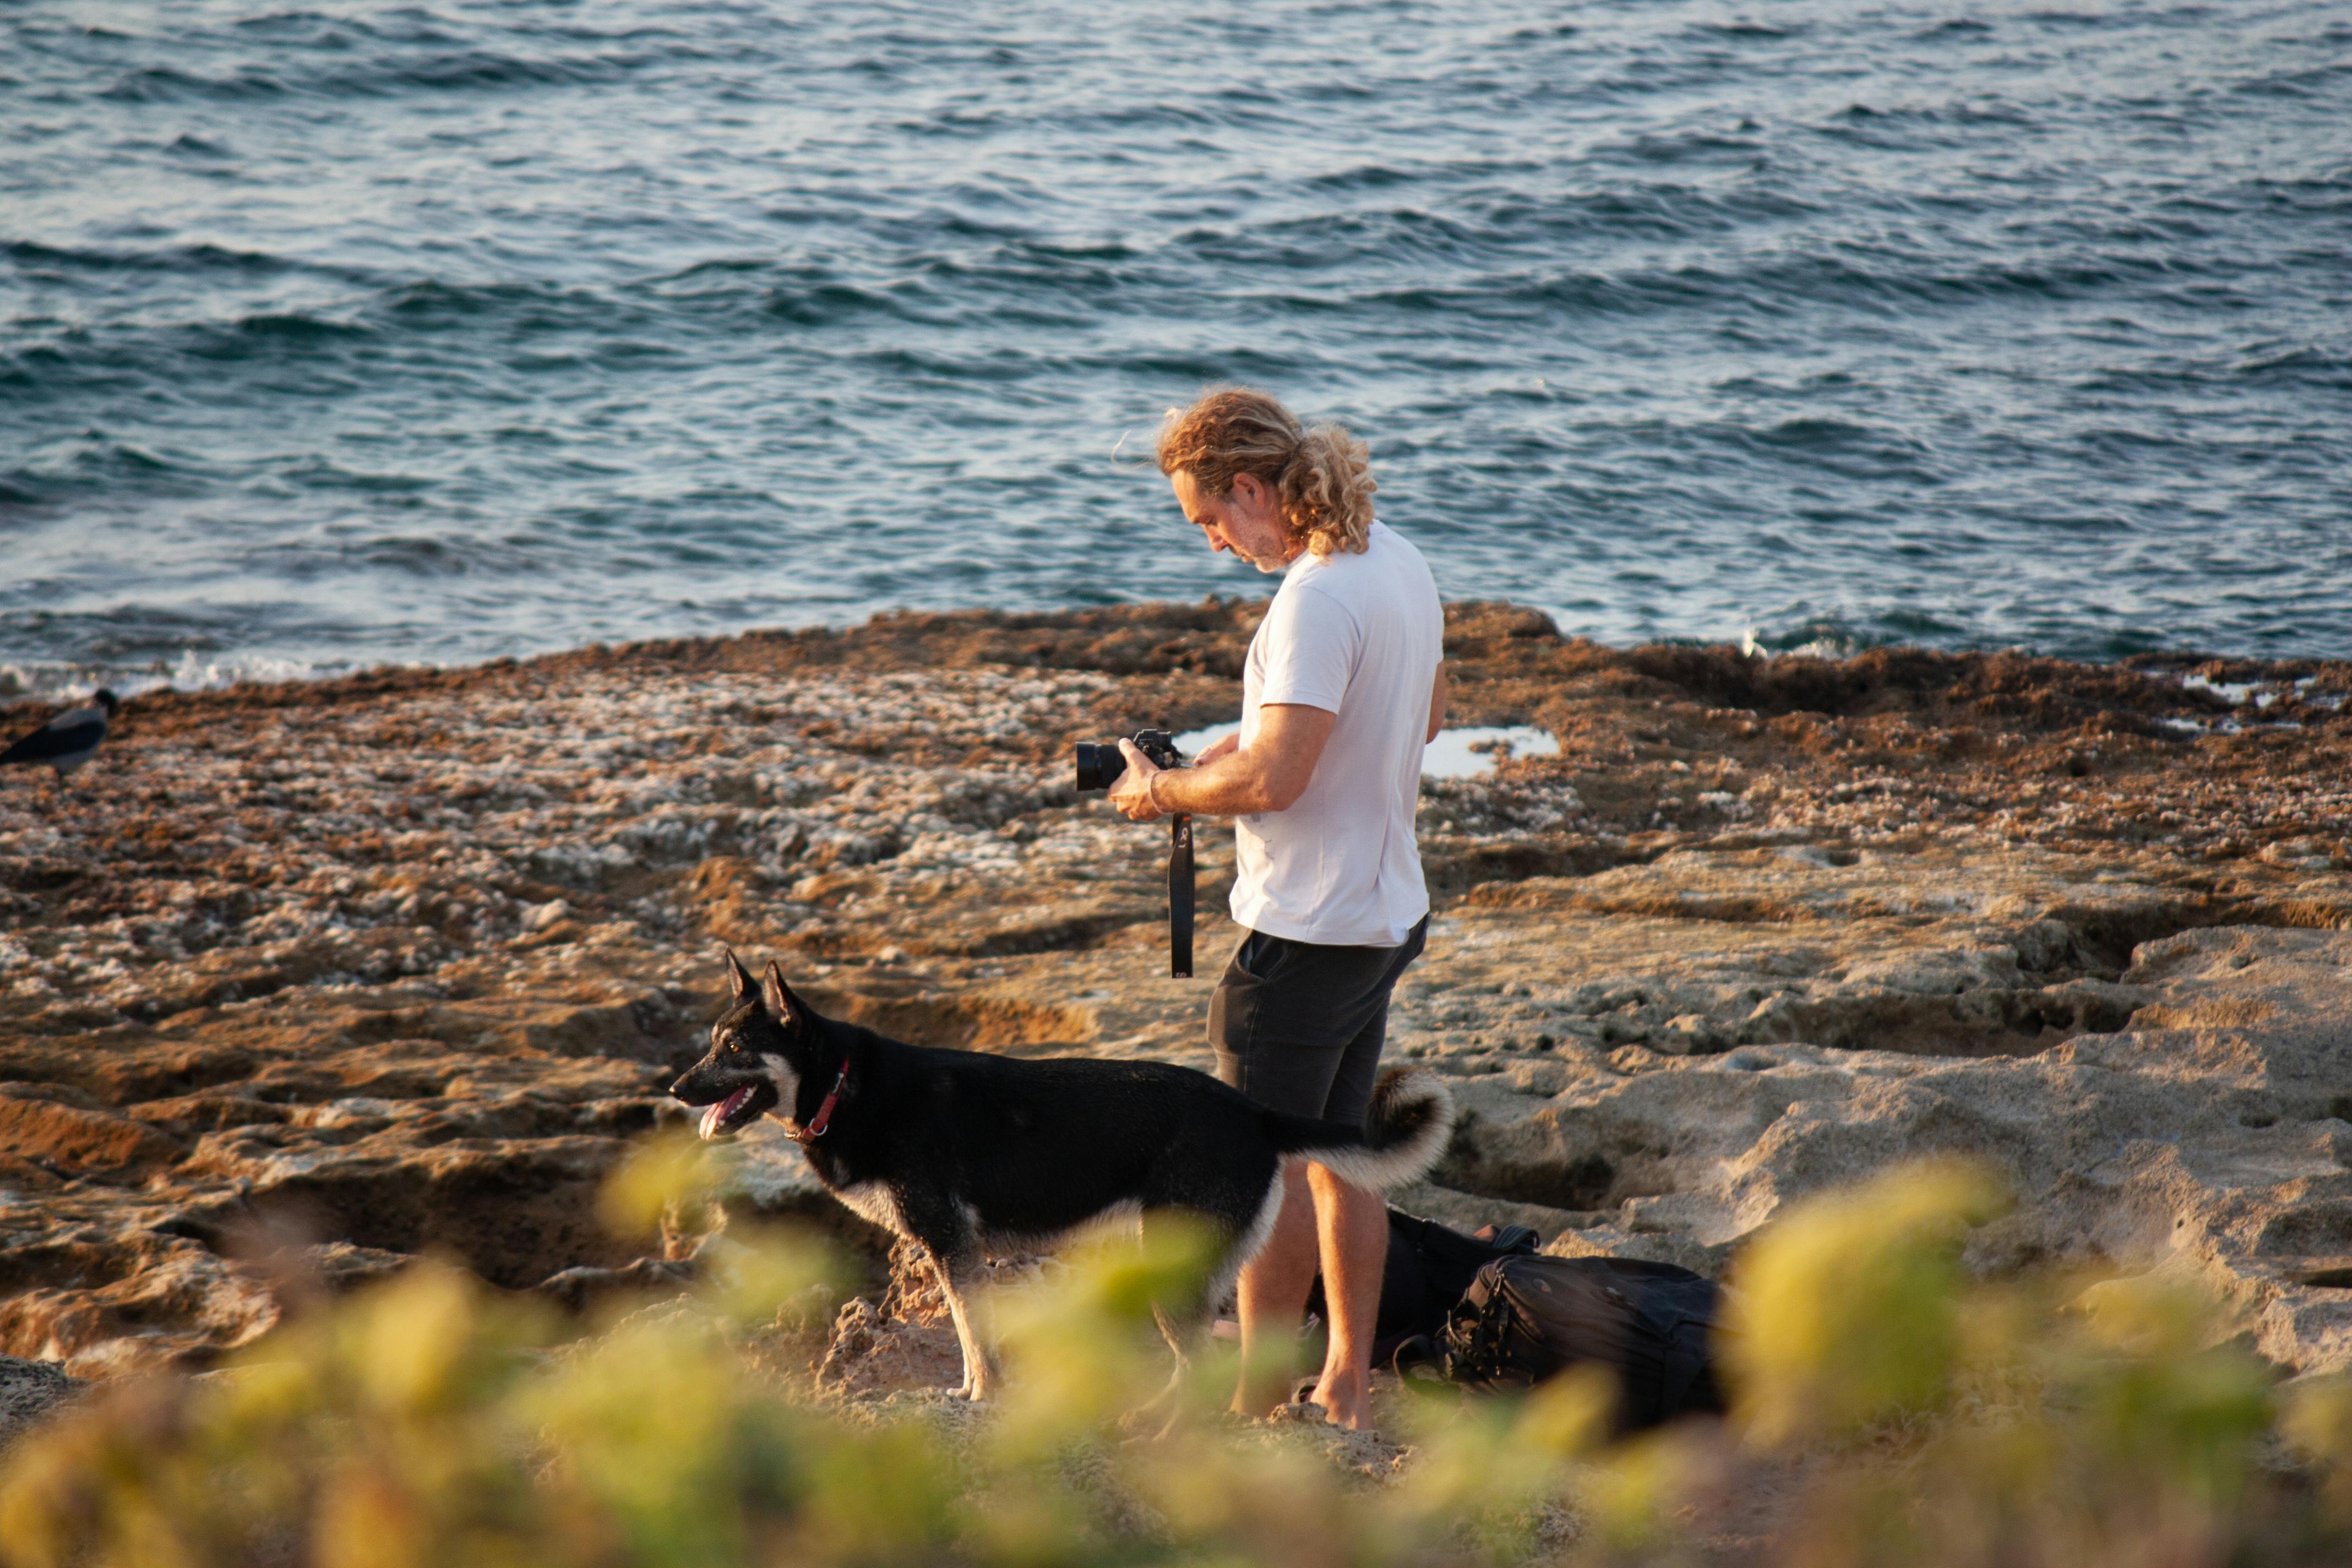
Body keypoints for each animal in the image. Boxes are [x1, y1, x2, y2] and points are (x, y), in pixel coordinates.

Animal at [672, 950, 1449, 1401]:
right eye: (712, 1042)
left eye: (737, 1049)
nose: (677, 1091)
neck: (842, 1084)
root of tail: (1254, 1113)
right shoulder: (957, 1254)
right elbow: (969, 1335)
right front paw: (969, 1393)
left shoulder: (953, 1247)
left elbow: (973, 1336)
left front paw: (982, 1399)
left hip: (1171, 1271)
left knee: (1198, 1370)